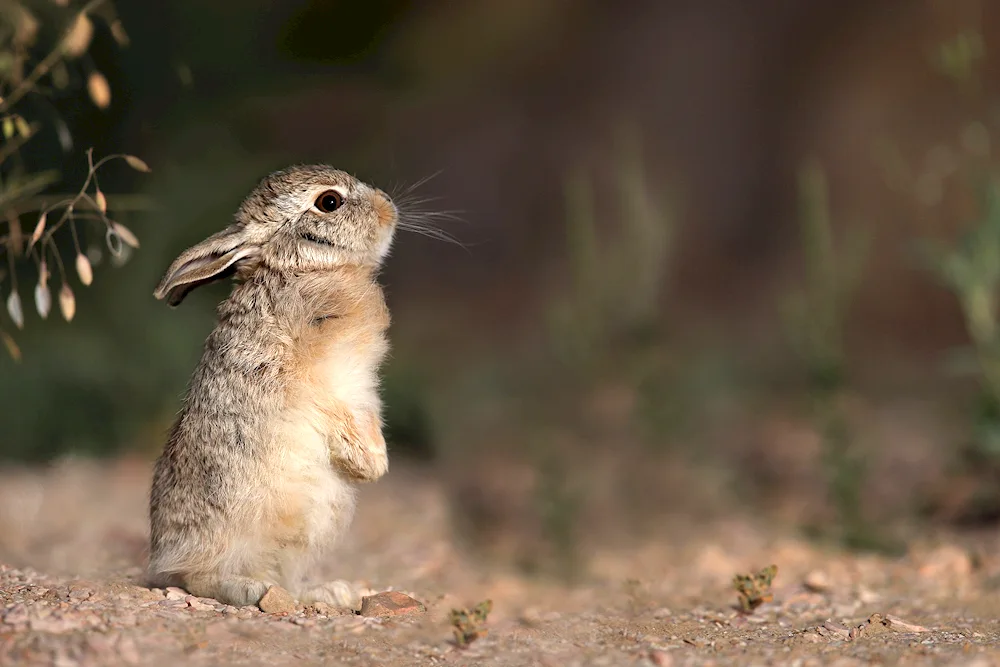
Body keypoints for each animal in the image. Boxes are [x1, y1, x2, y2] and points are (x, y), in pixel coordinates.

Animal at [148, 163, 398, 612]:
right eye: (329, 202)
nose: (388, 206)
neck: (304, 269)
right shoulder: (306, 380)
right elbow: (331, 411)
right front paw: (369, 465)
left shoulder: (362, 390)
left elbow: (366, 416)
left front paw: (374, 464)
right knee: (197, 577)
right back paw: (249, 589)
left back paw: (329, 592)